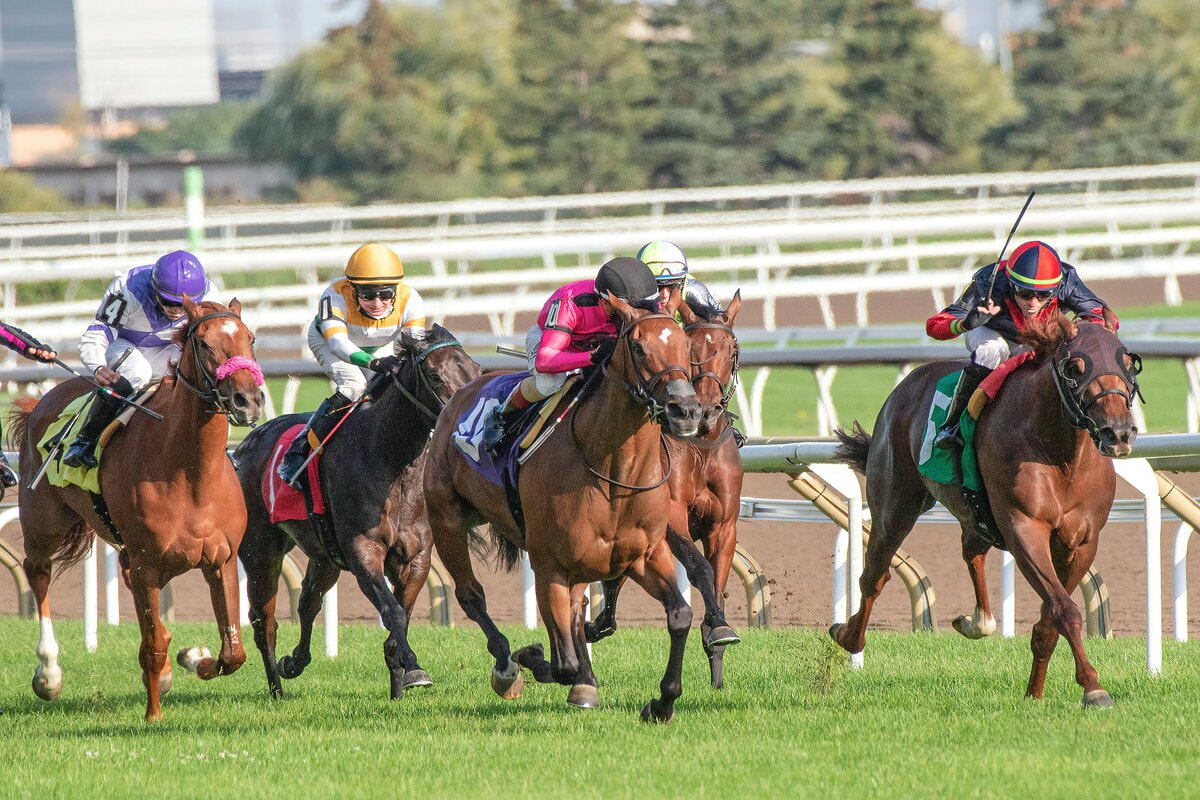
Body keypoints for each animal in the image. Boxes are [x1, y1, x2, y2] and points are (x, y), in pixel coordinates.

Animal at [11, 297, 262, 724]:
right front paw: (153, 714)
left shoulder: (221, 560)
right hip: (45, 523)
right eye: (205, 344)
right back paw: (48, 674)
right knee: (38, 573)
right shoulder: (148, 565)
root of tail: (37, 403)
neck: (189, 472)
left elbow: (233, 652)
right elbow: (155, 644)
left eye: (251, 338)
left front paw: (192, 657)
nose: (249, 399)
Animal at [231, 326, 480, 700]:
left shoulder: (416, 557)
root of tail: (245, 445)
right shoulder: (363, 552)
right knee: (265, 621)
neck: (389, 459)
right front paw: (415, 668)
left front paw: (399, 686)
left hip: (324, 555)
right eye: (435, 376)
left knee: (308, 601)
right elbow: (393, 612)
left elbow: (400, 617)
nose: (464, 417)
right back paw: (277, 688)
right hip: (261, 549)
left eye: (477, 369)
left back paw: (294, 663)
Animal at [424, 297, 700, 724]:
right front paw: (535, 658)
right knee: (472, 596)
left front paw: (662, 702)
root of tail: (461, 393)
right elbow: (563, 661)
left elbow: (680, 616)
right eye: (638, 348)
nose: (685, 410)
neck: (613, 470)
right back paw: (508, 666)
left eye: (686, 345)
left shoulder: (646, 555)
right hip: (447, 520)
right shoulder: (549, 563)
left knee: (574, 607)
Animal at [585, 292, 744, 690]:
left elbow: (718, 578)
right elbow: (700, 568)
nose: (703, 411)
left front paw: (718, 638)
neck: (700, 446)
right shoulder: (669, 517)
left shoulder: (724, 524)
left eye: (731, 350)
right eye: (692, 347)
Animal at [830, 311, 1137, 705]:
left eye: (1127, 363)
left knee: (970, 550)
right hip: (894, 504)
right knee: (875, 575)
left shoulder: (1082, 541)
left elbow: (1049, 621)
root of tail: (904, 387)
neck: (1060, 454)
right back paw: (847, 635)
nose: (1118, 432)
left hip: (974, 513)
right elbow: (1065, 610)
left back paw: (977, 621)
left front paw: (1034, 693)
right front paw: (1093, 688)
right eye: (1075, 367)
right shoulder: (1023, 529)